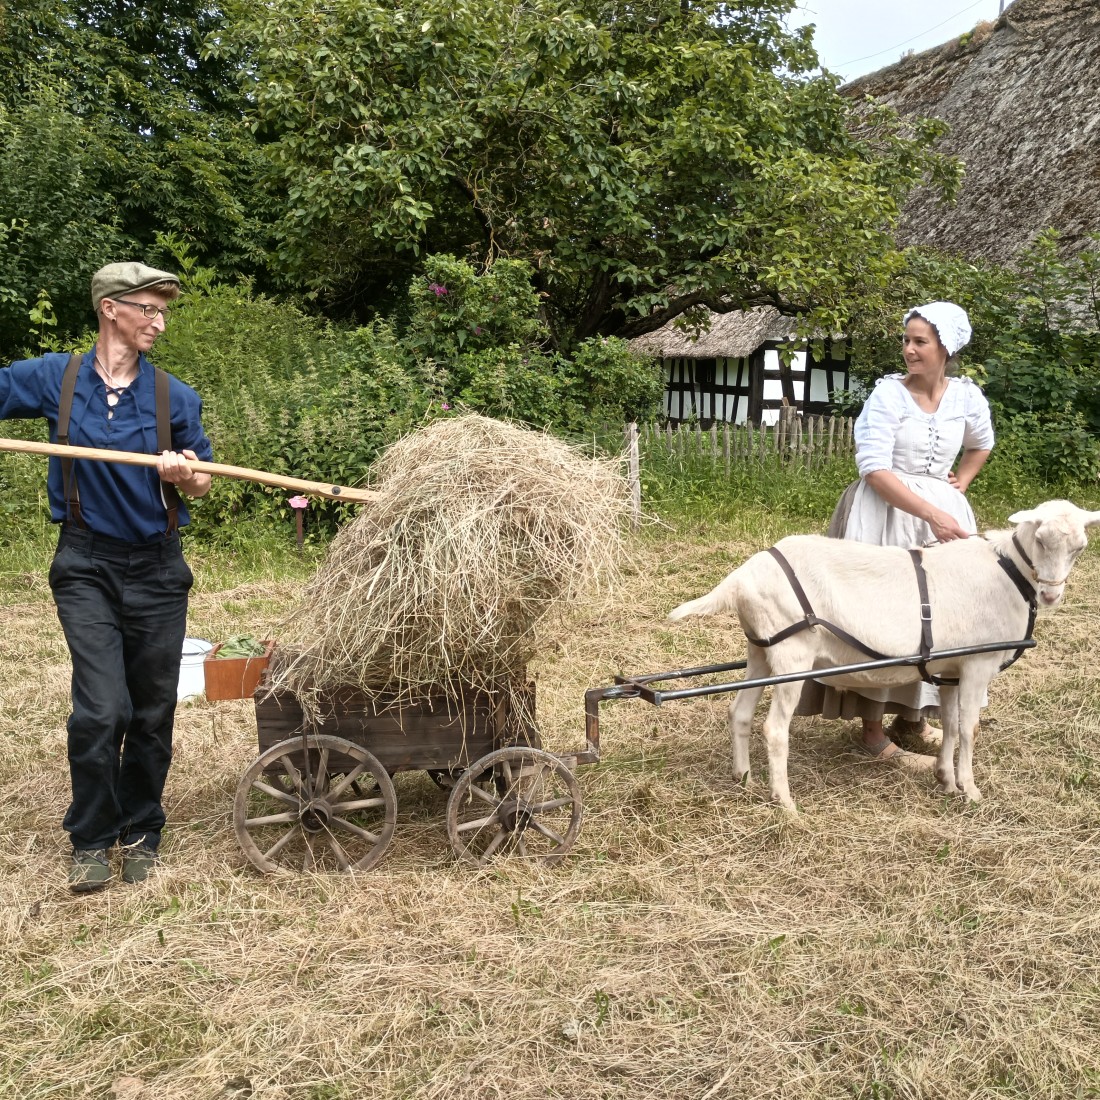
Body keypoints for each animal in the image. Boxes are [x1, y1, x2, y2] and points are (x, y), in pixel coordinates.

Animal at [664, 499, 1095, 809]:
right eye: (1040, 540)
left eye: (1079, 549)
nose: (1051, 595)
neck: (1008, 572)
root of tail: (740, 579)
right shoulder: (977, 663)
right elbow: (969, 729)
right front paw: (971, 790)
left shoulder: (952, 669)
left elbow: (951, 725)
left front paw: (946, 780)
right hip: (791, 655)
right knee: (773, 727)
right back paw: (783, 800)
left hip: (761, 650)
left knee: (738, 712)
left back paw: (743, 778)